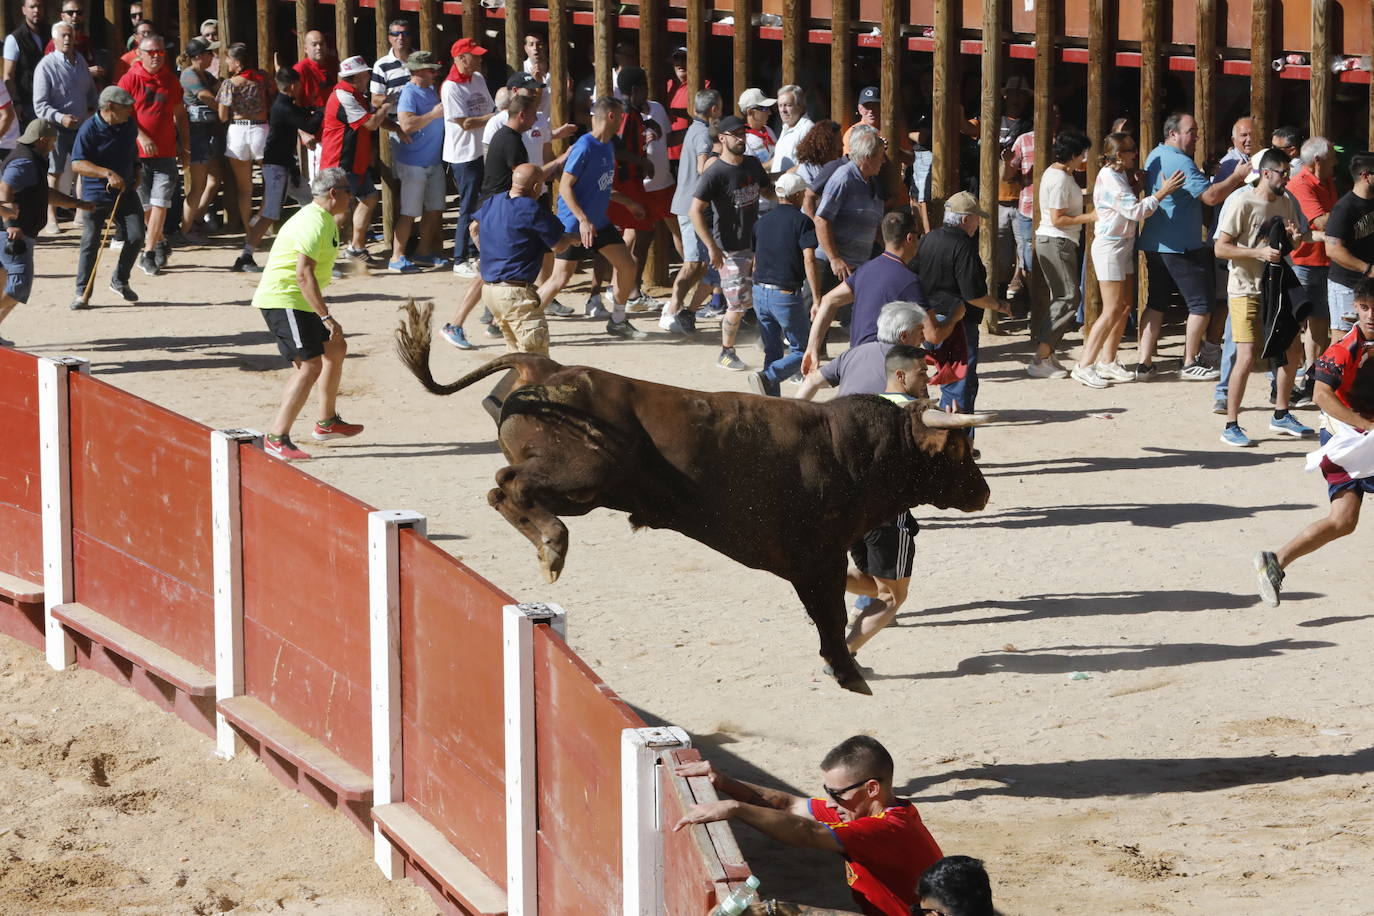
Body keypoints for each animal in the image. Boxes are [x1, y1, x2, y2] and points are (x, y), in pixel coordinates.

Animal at [398, 302, 989, 694]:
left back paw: (547, 546)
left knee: (500, 489)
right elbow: (830, 619)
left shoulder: (813, 561)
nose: (983, 492)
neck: (856, 449)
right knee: (513, 485)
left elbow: (860, 589)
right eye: (961, 449)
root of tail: (547, 369)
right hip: (586, 475)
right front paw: (850, 674)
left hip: (583, 488)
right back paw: (552, 546)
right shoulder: (815, 561)